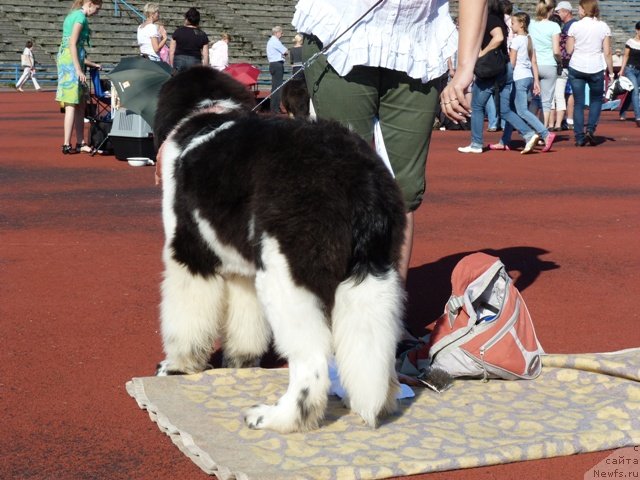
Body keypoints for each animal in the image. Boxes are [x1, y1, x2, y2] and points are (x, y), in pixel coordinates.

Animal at [153, 65, 408, 434]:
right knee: (374, 349)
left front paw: (176, 366)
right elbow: (246, 322)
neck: (206, 113)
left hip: (287, 279)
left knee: (312, 363)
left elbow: (184, 319)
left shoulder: (188, 254)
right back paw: (374, 402)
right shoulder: (243, 271)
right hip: (376, 271)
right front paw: (240, 361)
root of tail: (357, 175)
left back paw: (278, 417)